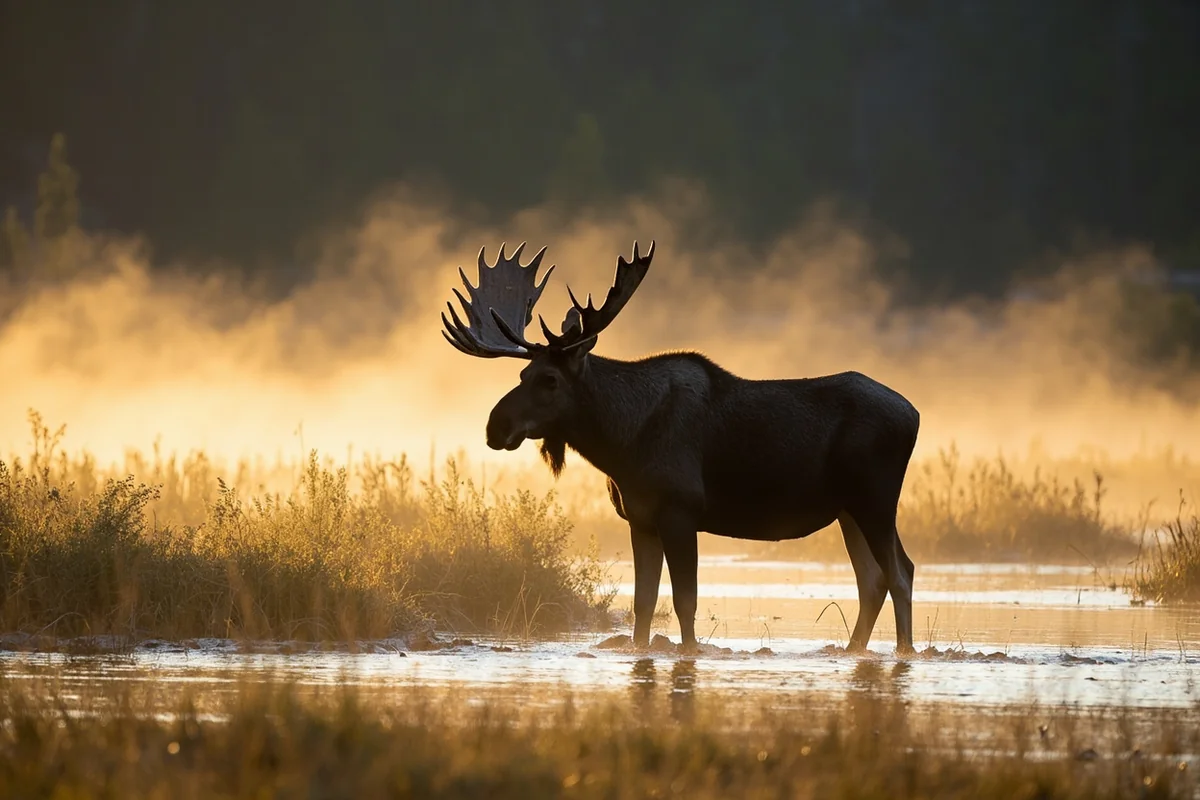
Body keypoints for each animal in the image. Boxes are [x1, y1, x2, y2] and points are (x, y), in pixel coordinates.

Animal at [440, 241, 920, 655]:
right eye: (522, 375)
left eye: (550, 380)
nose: (495, 426)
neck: (622, 443)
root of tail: (914, 414)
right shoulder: (641, 519)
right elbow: (644, 604)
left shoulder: (680, 510)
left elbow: (685, 603)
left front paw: (689, 653)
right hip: (847, 509)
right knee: (873, 579)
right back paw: (856, 650)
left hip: (876, 500)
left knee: (901, 572)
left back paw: (905, 651)